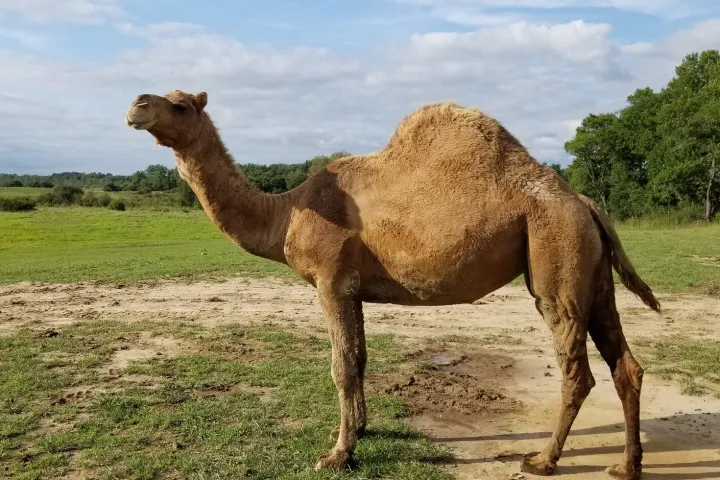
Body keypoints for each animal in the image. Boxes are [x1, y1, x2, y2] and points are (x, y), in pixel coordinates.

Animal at [125, 90, 660, 479]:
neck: (288, 212)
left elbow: (341, 366)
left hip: (555, 257)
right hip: (593, 271)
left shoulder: (330, 280)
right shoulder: (353, 287)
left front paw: (337, 455)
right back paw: (626, 466)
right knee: (626, 366)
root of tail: (585, 202)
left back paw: (543, 460)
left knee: (577, 369)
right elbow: (360, 358)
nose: (136, 104)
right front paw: (358, 431)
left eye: (181, 104)